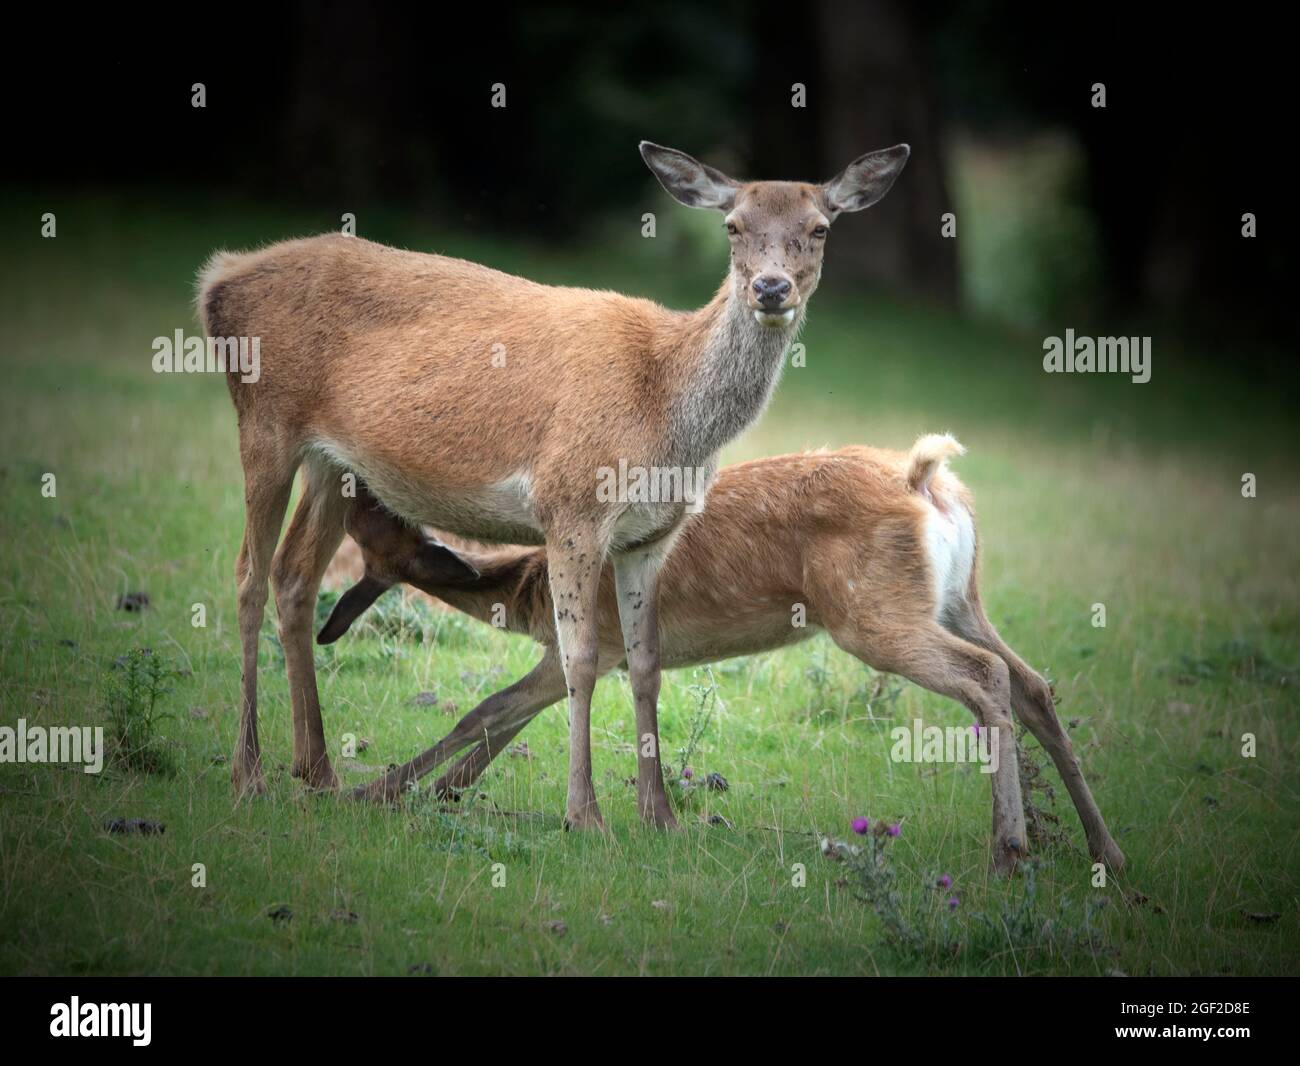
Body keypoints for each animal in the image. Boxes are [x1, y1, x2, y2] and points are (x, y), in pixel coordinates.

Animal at [197, 140, 911, 831]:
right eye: (732, 225)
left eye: (819, 228)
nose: (770, 287)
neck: (667, 411)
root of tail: (216, 281)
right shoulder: (571, 507)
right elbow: (582, 660)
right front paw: (584, 815)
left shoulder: (650, 535)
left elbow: (647, 664)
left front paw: (660, 817)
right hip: (265, 420)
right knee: (247, 576)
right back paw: (248, 775)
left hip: (333, 463)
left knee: (295, 575)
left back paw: (317, 772)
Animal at [317, 437, 1127, 875]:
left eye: (376, 545)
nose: (332, 624)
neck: (529, 589)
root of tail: (927, 479)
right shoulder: (584, 656)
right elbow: (496, 719)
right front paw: (431, 791)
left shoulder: (588, 645)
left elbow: (484, 711)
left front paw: (376, 793)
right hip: (961, 598)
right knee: (1033, 683)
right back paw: (1104, 853)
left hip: (872, 616)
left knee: (987, 678)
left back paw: (1008, 851)